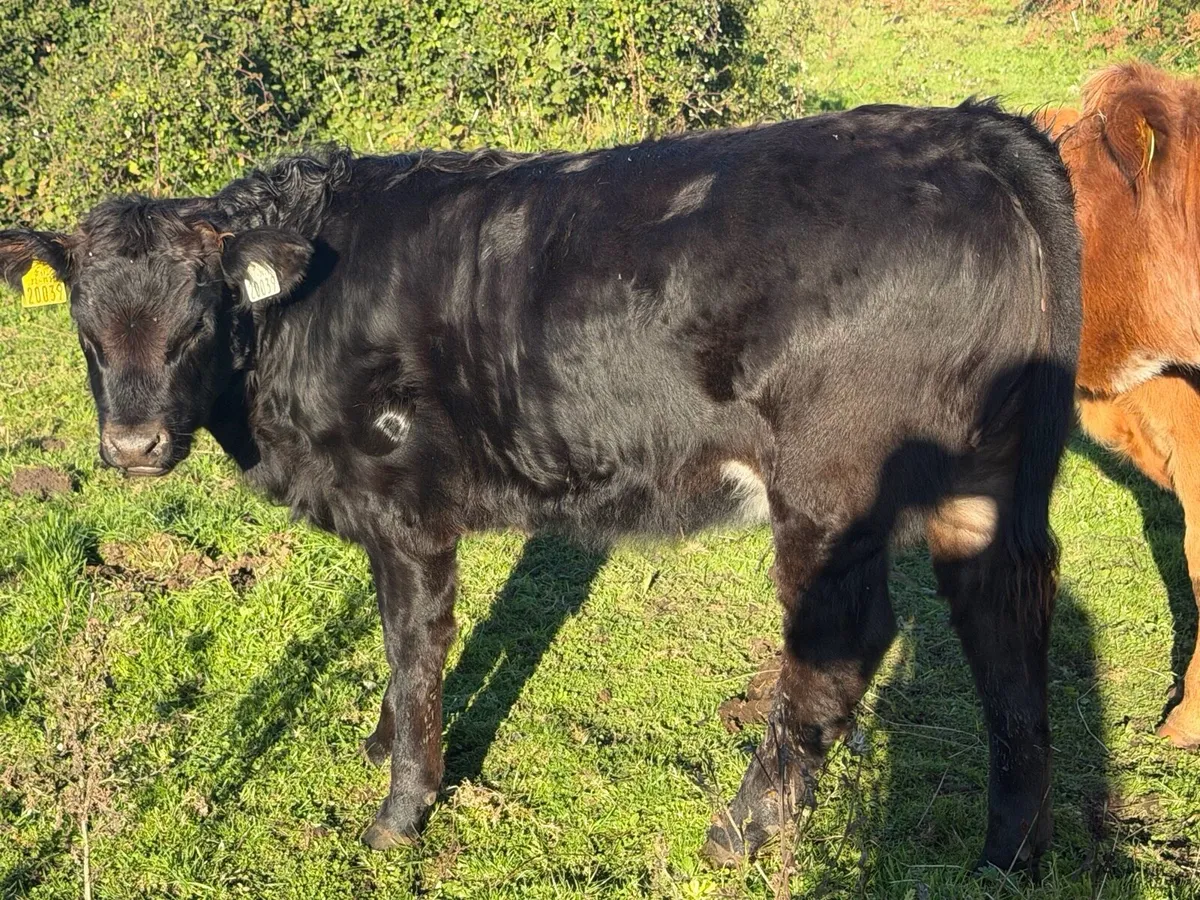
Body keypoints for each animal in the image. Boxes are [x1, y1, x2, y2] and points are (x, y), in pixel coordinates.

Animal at [0, 102, 1081, 871]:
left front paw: (400, 809)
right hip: (989, 481)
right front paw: (381, 745)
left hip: (832, 483)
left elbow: (415, 643)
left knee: (844, 643)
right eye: (87, 332)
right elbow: (395, 641)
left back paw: (740, 830)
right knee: (1008, 615)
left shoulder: (404, 500)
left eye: (195, 322)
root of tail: (972, 128)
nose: (132, 444)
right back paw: (1009, 853)